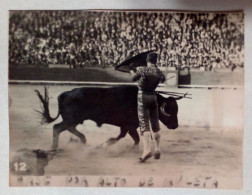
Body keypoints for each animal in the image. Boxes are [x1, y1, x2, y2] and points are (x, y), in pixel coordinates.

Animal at [35, 84, 181, 150]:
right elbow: (130, 137)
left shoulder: (128, 126)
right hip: (71, 119)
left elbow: (130, 137)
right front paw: (107, 143)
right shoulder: (129, 126)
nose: (175, 126)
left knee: (67, 128)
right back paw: (55, 147)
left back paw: (82, 141)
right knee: (57, 128)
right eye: (170, 111)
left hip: (73, 120)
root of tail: (65, 94)